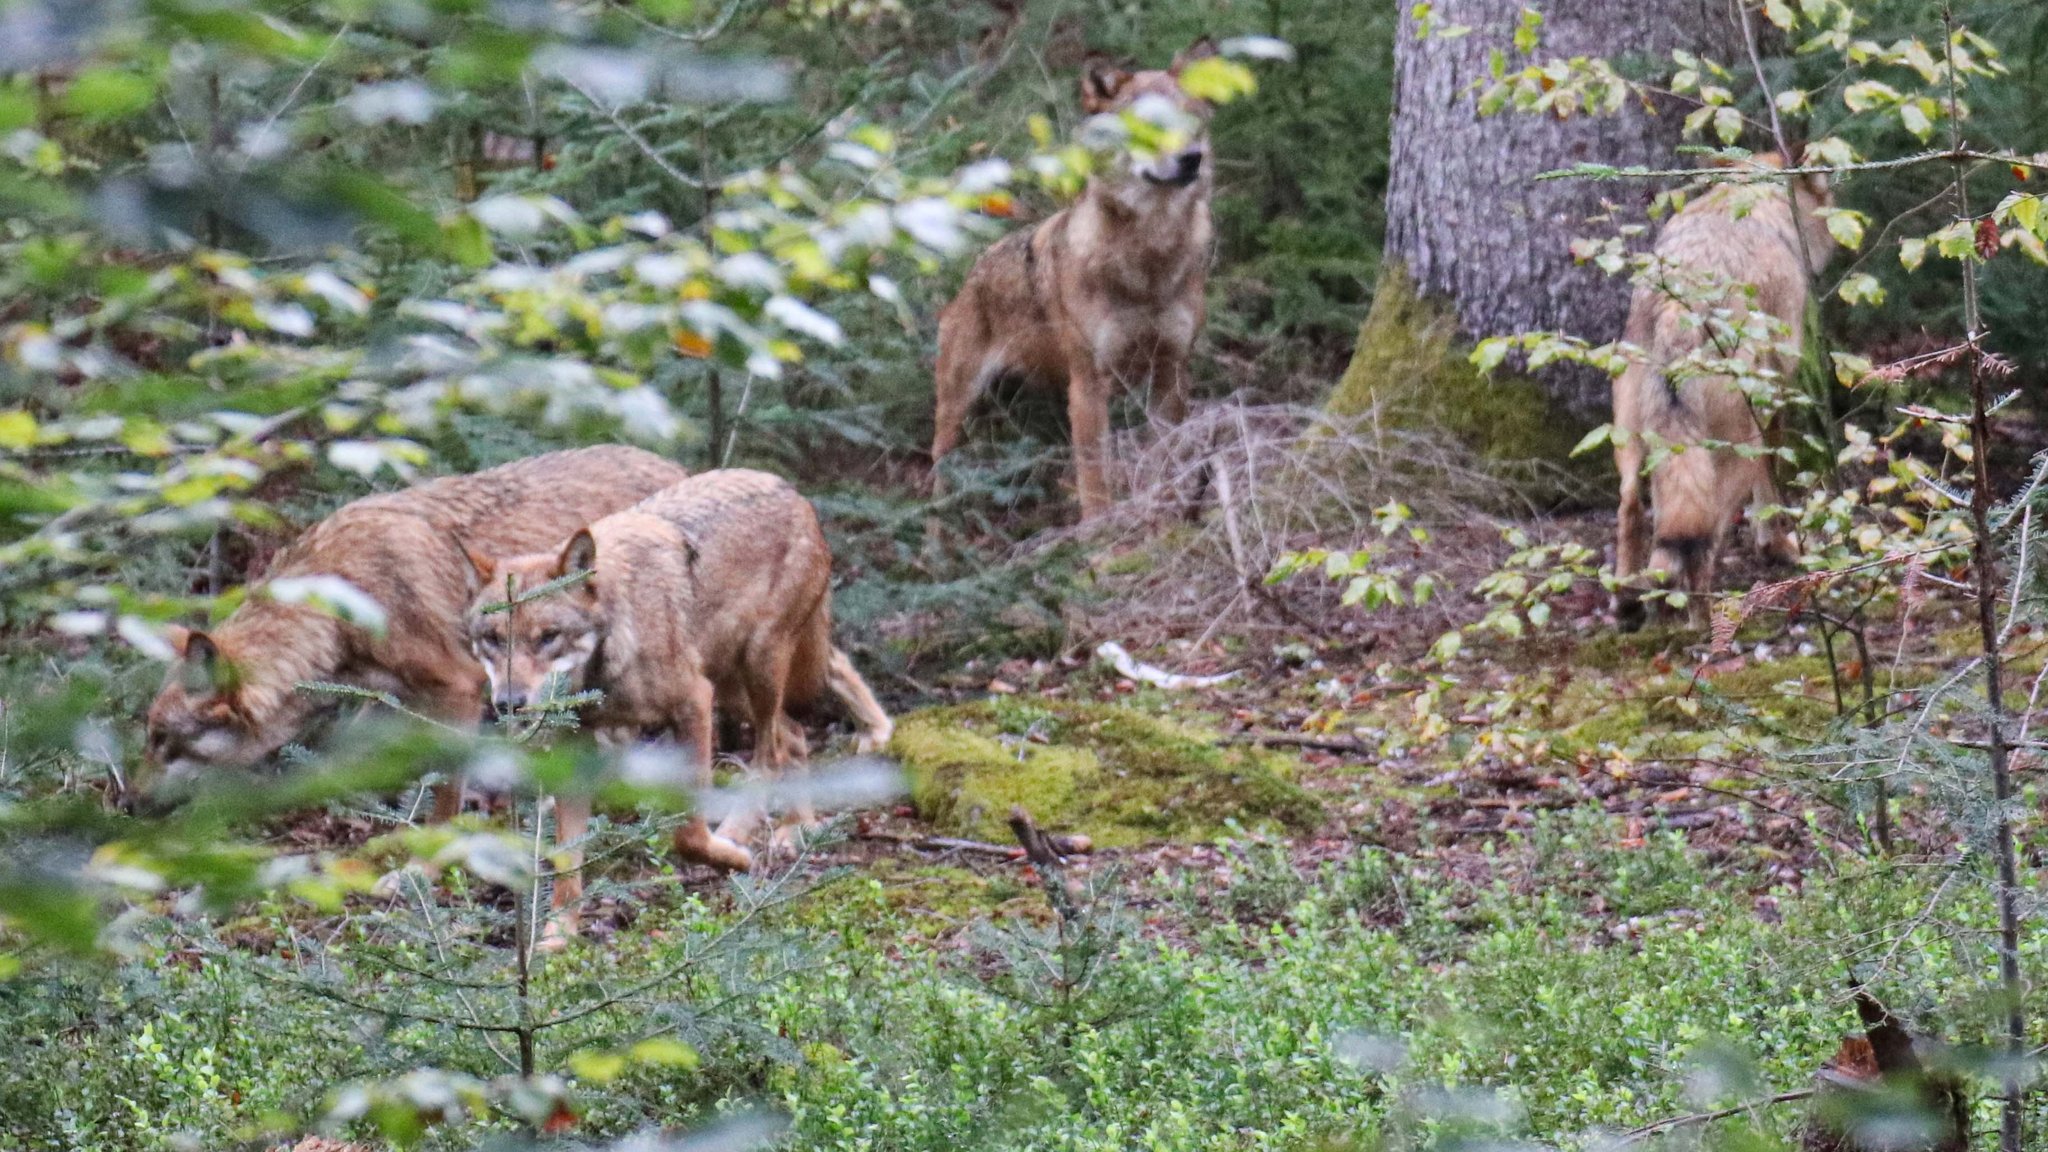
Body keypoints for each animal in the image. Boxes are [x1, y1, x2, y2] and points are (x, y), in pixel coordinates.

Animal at [144, 438, 692, 807]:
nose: (129, 804)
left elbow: (446, 791)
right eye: (151, 736)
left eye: (164, 741)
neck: (343, 603)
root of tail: (678, 465)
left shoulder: (461, 689)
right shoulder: (387, 697)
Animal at [466, 467, 897, 934]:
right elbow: (567, 861)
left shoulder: (693, 704)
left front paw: (728, 857)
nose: (509, 702)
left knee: (771, 755)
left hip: (756, 668)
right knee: (795, 737)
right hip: (733, 688)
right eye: (493, 640)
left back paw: (743, 834)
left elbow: (688, 833)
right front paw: (556, 938)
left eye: (548, 637)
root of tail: (789, 489)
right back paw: (794, 830)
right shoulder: (575, 747)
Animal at [937, 38, 1220, 518]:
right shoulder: (1090, 385)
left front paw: (1165, 510)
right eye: (1146, 124)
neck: (1148, 262)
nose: (1191, 160)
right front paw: (1101, 530)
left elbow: (1163, 457)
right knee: (936, 469)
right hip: (960, 405)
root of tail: (972, 275)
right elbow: (1094, 478)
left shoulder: (1171, 373)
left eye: (1191, 122)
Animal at [1613, 152, 1843, 627]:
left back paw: (1630, 604)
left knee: (1634, 513)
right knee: (1700, 548)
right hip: (1738, 448)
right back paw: (1702, 626)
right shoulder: (1777, 394)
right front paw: (1780, 548)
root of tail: (1679, 308)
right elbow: (1771, 495)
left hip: (1634, 443)